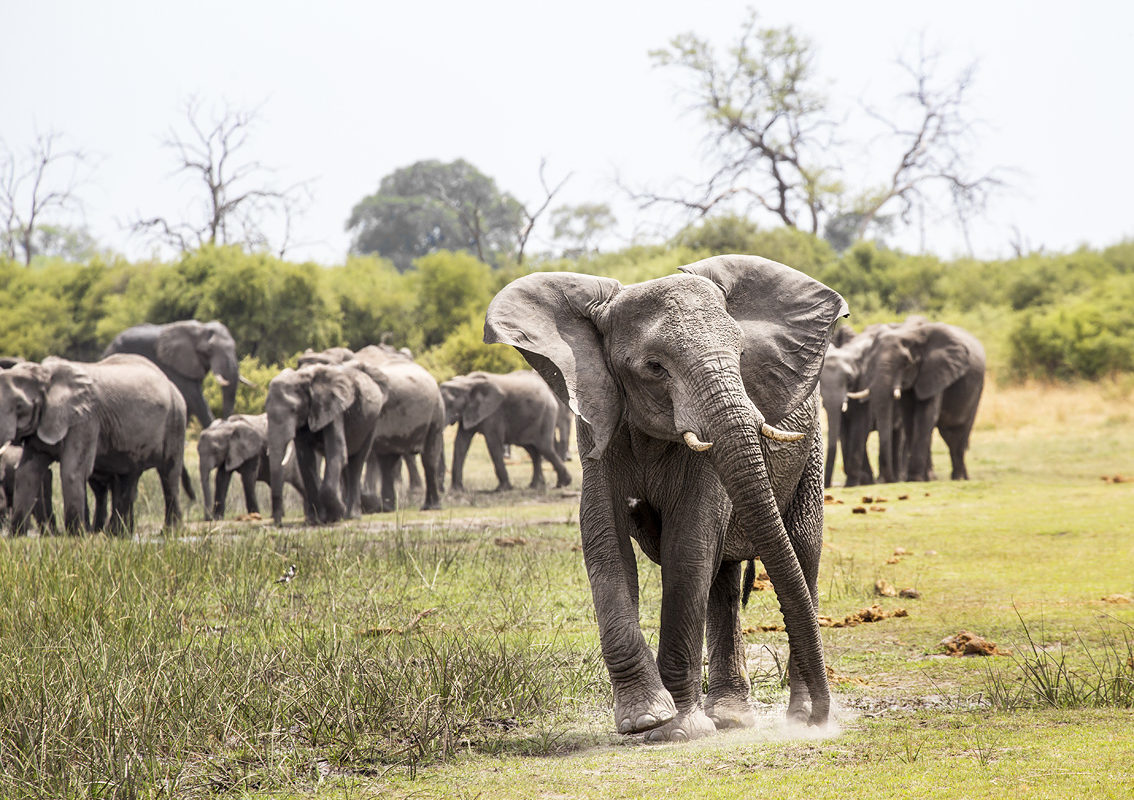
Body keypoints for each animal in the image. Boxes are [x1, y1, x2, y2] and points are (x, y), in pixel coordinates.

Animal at [0, 356, 188, 535]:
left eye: (20, 406)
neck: (45, 375)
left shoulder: (86, 419)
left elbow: (72, 472)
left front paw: (76, 535)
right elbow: (27, 472)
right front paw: (16, 535)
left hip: (176, 420)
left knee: (169, 474)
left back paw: (169, 532)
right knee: (129, 477)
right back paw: (117, 534)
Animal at [100, 322, 249, 426]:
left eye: (234, 346)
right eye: (208, 350)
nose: (225, 421)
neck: (200, 329)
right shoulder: (173, 365)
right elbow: (193, 396)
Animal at [437, 369, 571, 492]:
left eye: (450, 404)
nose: (442, 488)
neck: (466, 382)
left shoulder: (494, 413)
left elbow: (493, 443)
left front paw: (502, 489)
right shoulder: (470, 412)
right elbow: (461, 443)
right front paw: (457, 490)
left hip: (546, 414)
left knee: (544, 447)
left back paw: (563, 483)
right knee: (533, 450)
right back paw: (535, 486)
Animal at [483, 253, 848, 739]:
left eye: (742, 355)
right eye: (654, 367)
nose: (827, 720)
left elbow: (688, 545)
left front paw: (678, 729)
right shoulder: (597, 426)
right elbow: (604, 540)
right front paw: (643, 720)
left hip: (809, 450)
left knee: (802, 553)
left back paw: (796, 718)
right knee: (725, 576)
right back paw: (738, 717)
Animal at [857, 317, 984, 481]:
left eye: (906, 362)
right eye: (870, 362)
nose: (886, 480)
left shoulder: (936, 371)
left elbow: (925, 416)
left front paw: (915, 478)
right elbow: (909, 419)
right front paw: (922, 478)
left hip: (977, 389)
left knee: (959, 433)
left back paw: (959, 478)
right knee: (949, 435)